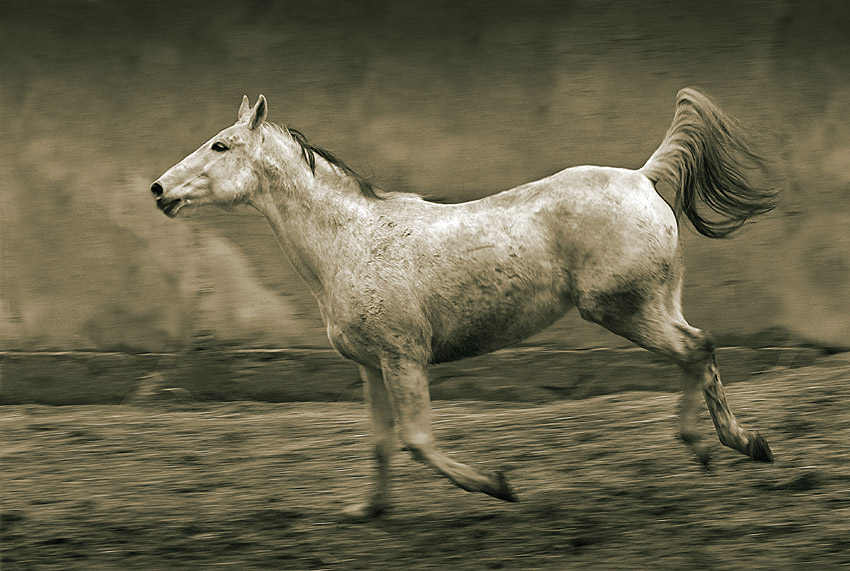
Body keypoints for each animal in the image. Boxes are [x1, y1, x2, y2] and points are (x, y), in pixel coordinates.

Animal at [151, 88, 776, 520]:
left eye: (220, 145)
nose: (159, 191)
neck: (350, 242)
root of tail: (643, 177)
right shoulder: (372, 366)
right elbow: (380, 444)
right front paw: (368, 511)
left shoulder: (404, 358)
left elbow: (417, 440)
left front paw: (498, 485)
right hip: (652, 305)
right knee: (698, 352)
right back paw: (731, 446)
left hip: (623, 309)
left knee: (696, 349)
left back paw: (721, 445)